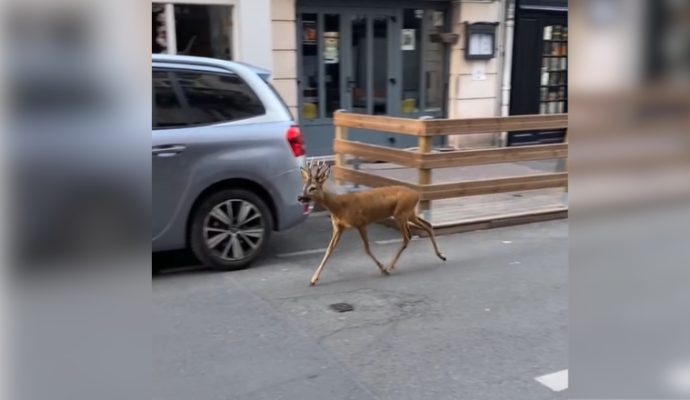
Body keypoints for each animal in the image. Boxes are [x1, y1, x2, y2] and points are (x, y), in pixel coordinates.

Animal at [296, 161, 446, 286]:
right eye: (304, 186)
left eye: (313, 188)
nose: (300, 197)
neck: (339, 206)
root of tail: (417, 194)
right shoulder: (338, 227)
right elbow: (328, 250)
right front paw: (313, 279)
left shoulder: (361, 223)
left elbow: (367, 248)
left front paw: (382, 269)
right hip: (409, 214)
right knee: (427, 225)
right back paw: (441, 255)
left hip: (401, 213)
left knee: (407, 237)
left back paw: (389, 267)